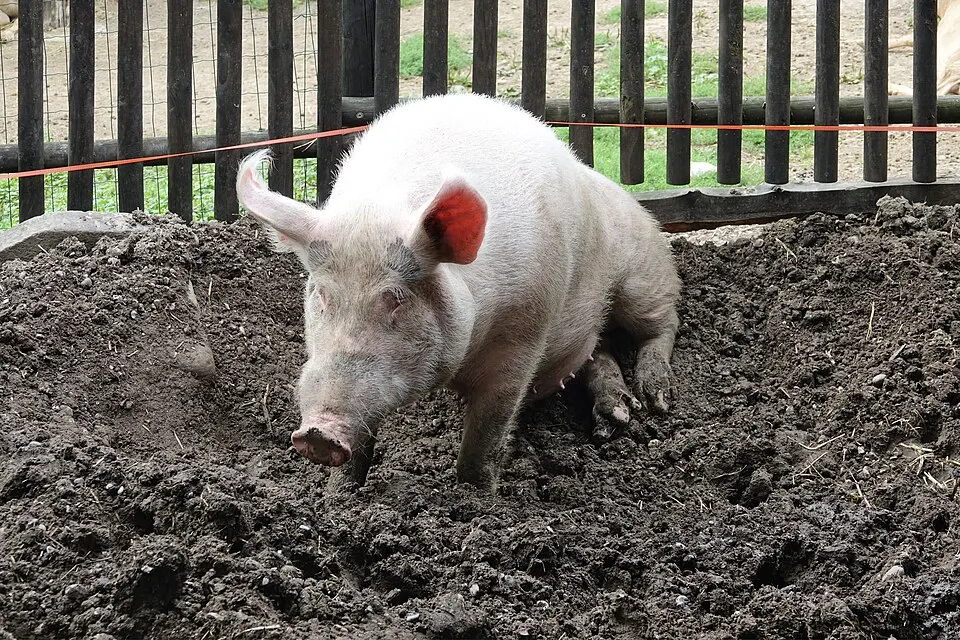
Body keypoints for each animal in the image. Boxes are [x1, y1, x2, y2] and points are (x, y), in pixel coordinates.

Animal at [236, 93, 680, 492]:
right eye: (323, 294)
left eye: (396, 297)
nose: (317, 434)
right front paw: (339, 497)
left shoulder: (524, 333)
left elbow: (487, 432)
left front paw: (475, 498)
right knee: (599, 352)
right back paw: (618, 416)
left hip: (642, 272)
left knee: (663, 323)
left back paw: (656, 399)